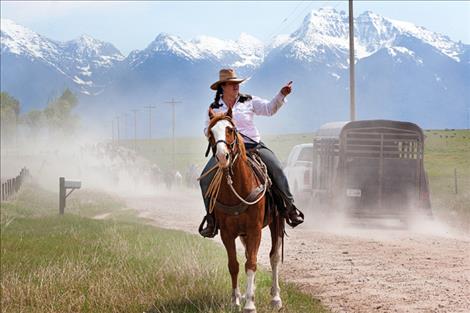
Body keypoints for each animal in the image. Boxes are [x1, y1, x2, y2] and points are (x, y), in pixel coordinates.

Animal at [205, 106, 282, 310]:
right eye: (210, 133)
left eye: (230, 129)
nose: (222, 157)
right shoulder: (227, 233)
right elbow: (234, 265)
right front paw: (236, 300)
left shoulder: (255, 230)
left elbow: (252, 264)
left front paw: (249, 305)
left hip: (277, 223)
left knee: (274, 257)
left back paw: (275, 298)